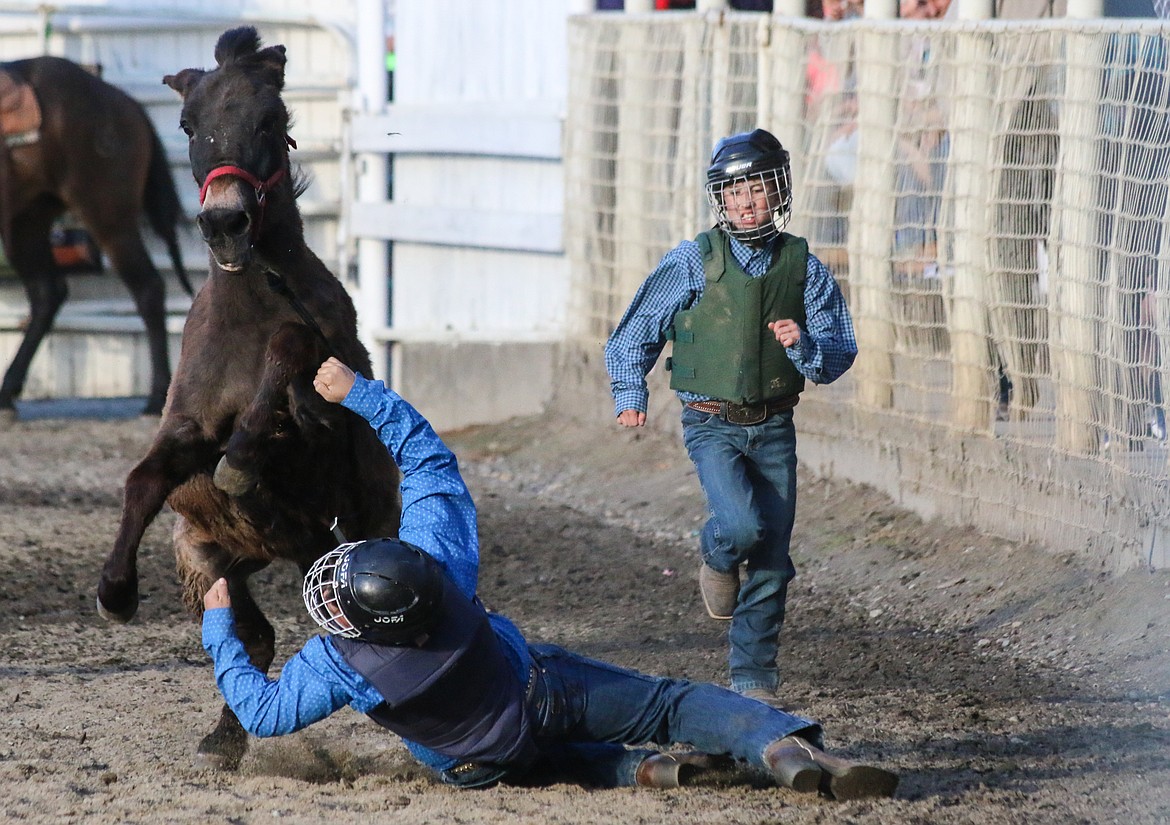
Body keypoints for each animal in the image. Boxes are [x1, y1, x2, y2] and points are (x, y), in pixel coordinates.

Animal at [93, 27, 402, 772]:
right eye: (188, 125)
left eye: (270, 119)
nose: (225, 222)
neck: (252, 305)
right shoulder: (186, 434)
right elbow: (146, 478)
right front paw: (115, 591)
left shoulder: (318, 430)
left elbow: (289, 370)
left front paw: (246, 458)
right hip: (211, 559)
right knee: (251, 631)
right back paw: (224, 736)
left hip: (364, 520)